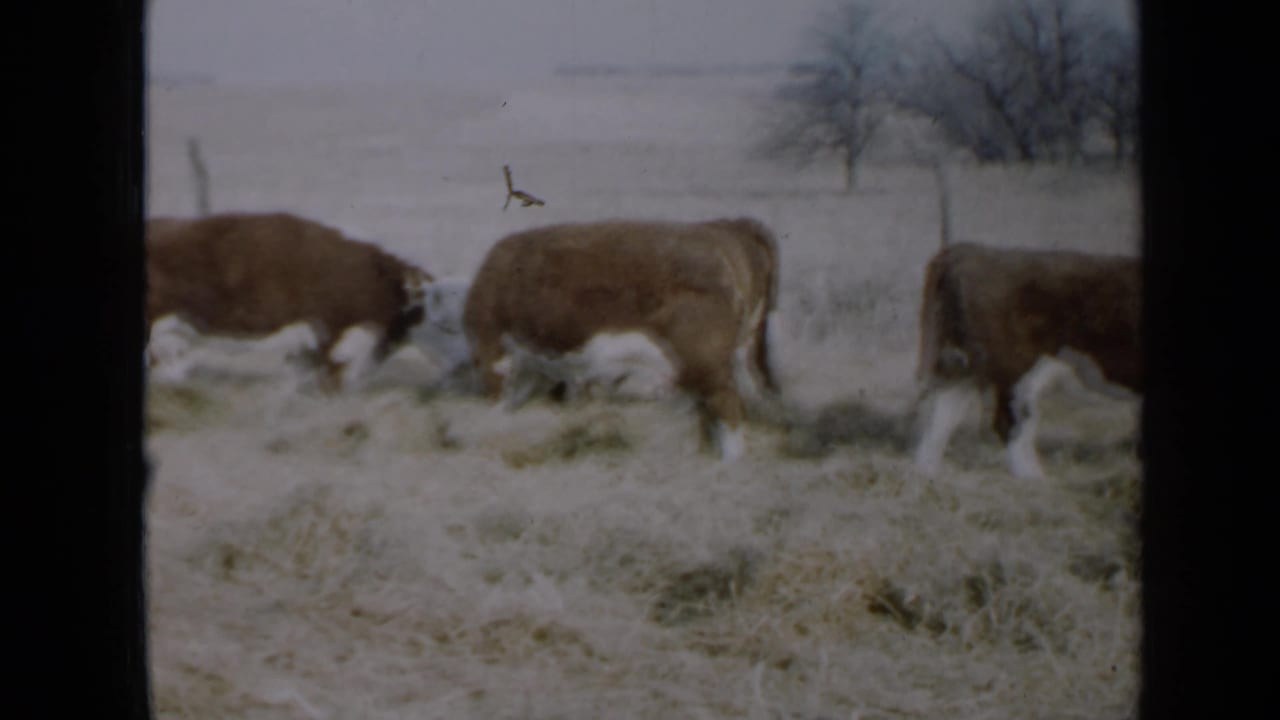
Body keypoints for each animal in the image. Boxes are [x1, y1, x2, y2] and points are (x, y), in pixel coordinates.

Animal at [462, 217, 781, 461]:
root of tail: (724, 228)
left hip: (704, 363)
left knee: (727, 407)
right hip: (735, 357)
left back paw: (729, 463)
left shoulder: (493, 354)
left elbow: (497, 407)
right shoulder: (532, 367)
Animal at [911, 170, 1141, 478]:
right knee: (1010, 420)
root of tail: (971, 251)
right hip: (1017, 365)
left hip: (964, 360)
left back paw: (929, 471)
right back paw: (1034, 478)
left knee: (943, 413)